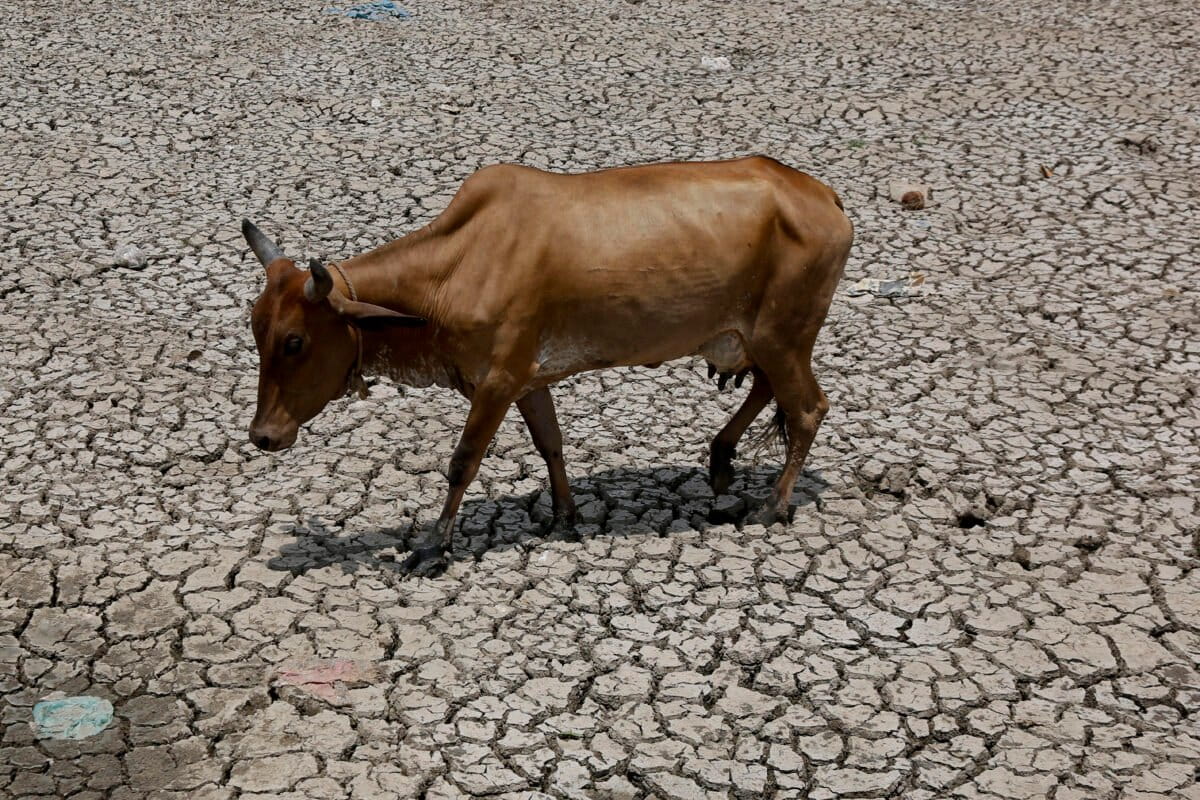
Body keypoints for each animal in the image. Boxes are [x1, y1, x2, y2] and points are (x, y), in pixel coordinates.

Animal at [242, 156, 853, 576]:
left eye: (295, 341)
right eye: (255, 327)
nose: (262, 436)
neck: (458, 264)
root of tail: (825, 195)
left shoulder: (496, 381)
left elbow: (462, 463)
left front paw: (433, 546)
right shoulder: (527, 381)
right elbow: (550, 445)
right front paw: (564, 516)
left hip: (783, 336)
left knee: (808, 409)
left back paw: (772, 505)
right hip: (760, 339)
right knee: (767, 392)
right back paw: (722, 458)